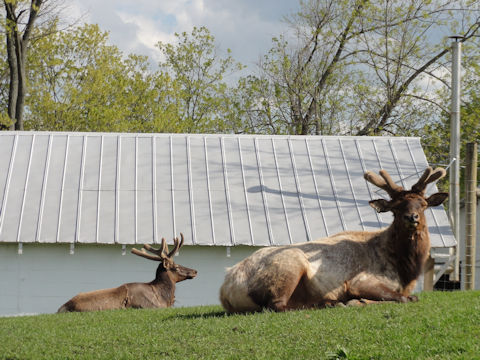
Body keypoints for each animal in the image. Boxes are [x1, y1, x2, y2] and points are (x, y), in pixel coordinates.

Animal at [219, 167, 448, 312]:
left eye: (423, 204)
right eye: (396, 208)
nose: (412, 217)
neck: (405, 270)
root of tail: (225, 291)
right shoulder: (359, 280)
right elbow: (406, 298)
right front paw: (359, 301)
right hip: (289, 264)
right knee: (277, 305)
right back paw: (329, 303)